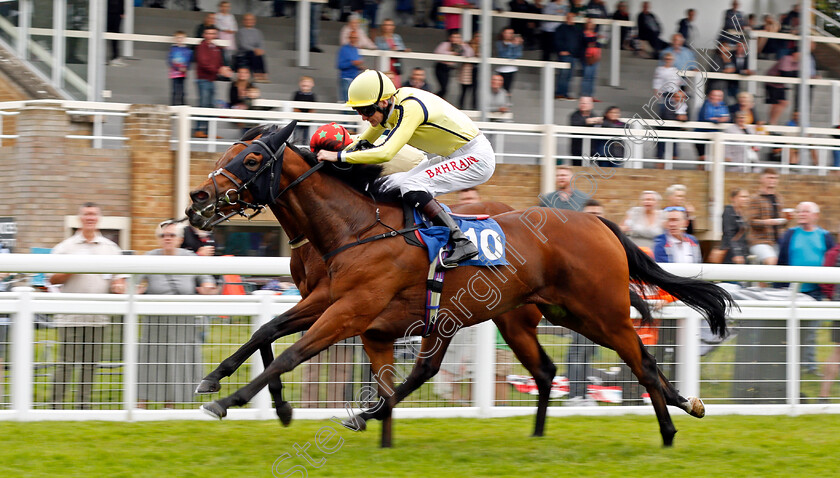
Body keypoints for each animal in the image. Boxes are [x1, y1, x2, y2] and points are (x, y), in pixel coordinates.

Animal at [185, 122, 736, 444]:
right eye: (229, 150)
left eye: (251, 159)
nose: (197, 199)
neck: (356, 226)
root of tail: (596, 222)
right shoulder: (330, 299)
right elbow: (267, 331)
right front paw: (220, 382)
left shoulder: (351, 309)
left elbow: (291, 352)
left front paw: (231, 400)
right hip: (540, 314)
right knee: (544, 368)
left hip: (598, 311)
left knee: (641, 360)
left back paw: (670, 427)